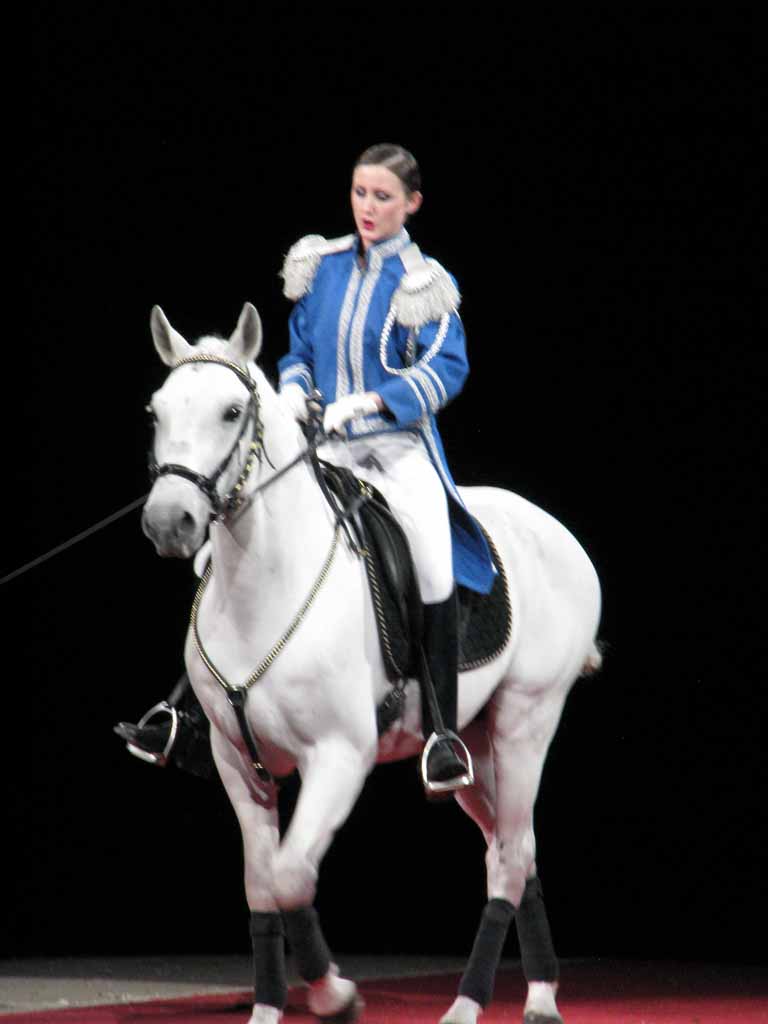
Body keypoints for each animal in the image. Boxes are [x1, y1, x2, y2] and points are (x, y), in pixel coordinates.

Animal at [141, 299, 606, 1019]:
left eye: (229, 411)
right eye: (157, 411)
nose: (169, 522)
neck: (264, 584)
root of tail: (558, 533)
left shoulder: (339, 756)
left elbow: (291, 873)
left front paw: (334, 993)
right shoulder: (235, 760)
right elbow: (262, 884)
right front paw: (269, 1007)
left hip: (526, 723)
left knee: (507, 859)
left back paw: (469, 1002)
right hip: (477, 747)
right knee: (517, 846)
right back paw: (541, 995)